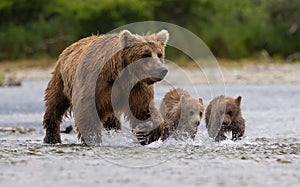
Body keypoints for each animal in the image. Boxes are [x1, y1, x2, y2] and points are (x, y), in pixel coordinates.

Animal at [42, 29, 170, 145]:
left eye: (160, 54)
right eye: (146, 54)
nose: (162, 70)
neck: (120, 74)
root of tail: (70, 47)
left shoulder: (135, 87)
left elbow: (143, 109)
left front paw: (148, 134)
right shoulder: (95, 84)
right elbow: (87, 110)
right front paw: (92, 138)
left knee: (111, 119)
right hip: (62, 80)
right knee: (55, 106)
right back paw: (52, 138)